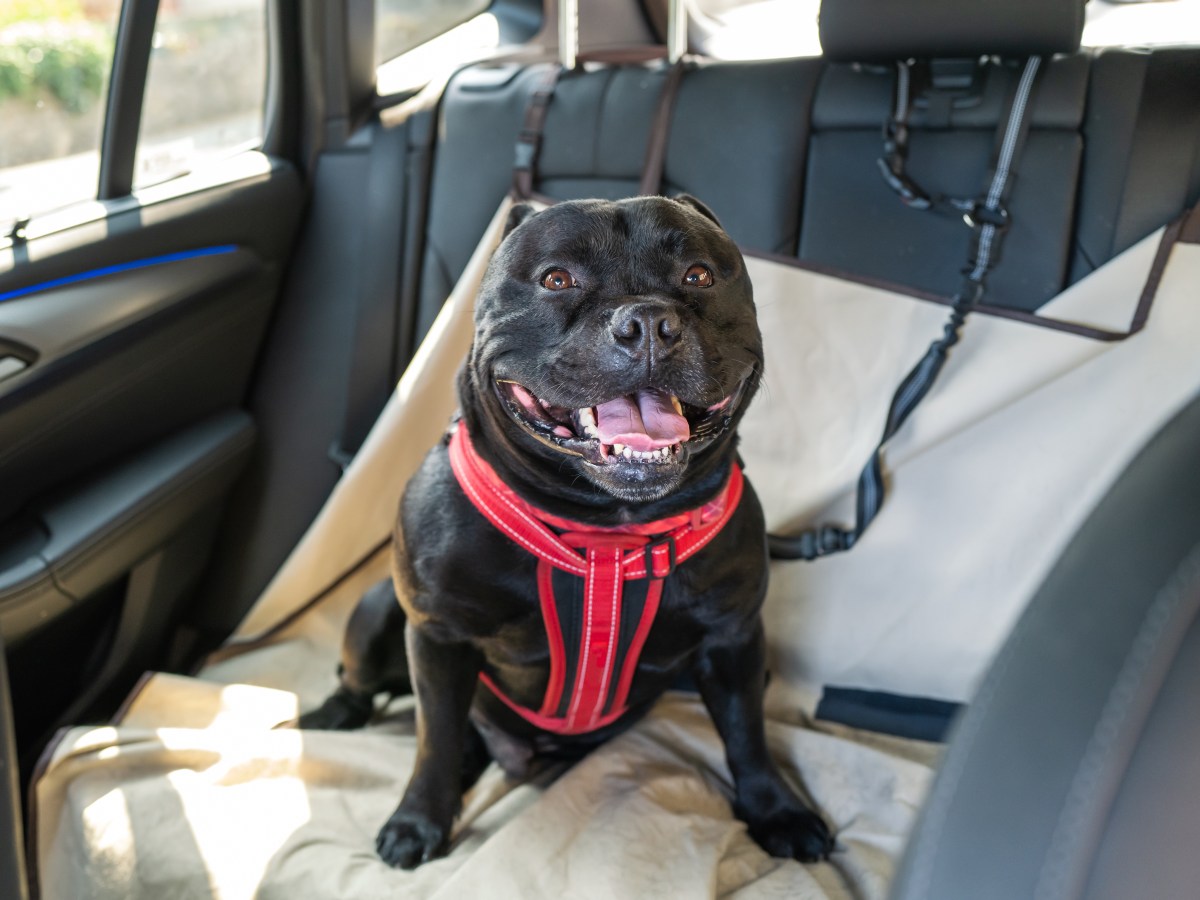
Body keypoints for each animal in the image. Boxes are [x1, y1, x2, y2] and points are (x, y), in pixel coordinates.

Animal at [300, 195, 835, 868]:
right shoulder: (439, 636)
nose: (648, 323)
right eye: (557, 279)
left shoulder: (733, 638)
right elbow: (434, 738)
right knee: (363, 681)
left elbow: (748, 733)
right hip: (378, 612)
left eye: (699, 276)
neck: (605, 528)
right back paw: (331, 716)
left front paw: (776, 810)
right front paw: (418, 820)